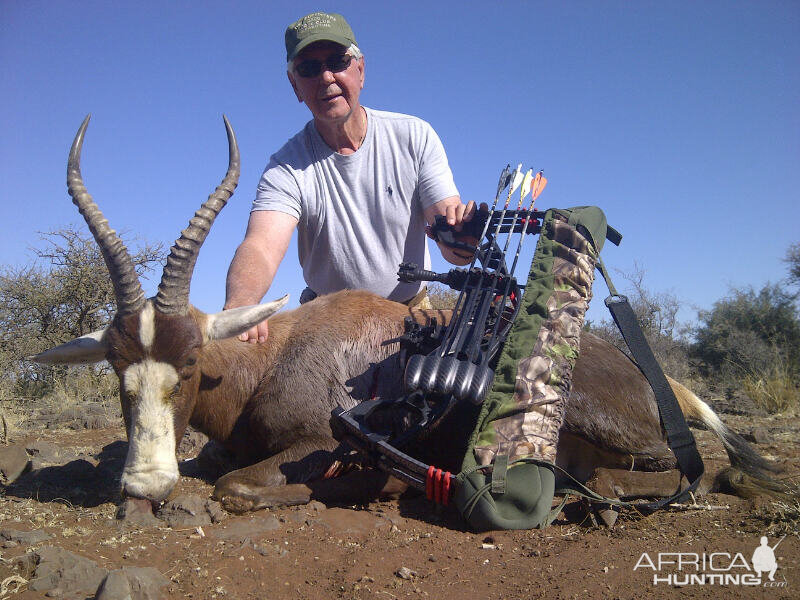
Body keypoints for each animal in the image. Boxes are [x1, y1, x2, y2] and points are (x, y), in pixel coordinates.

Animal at [34, 116, 780, 520]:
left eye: (189, 362)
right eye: (116, 367)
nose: (145, 485)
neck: (273, 356)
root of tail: (656, 381)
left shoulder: (321, 440)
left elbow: (236, 486)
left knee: (678, 470)